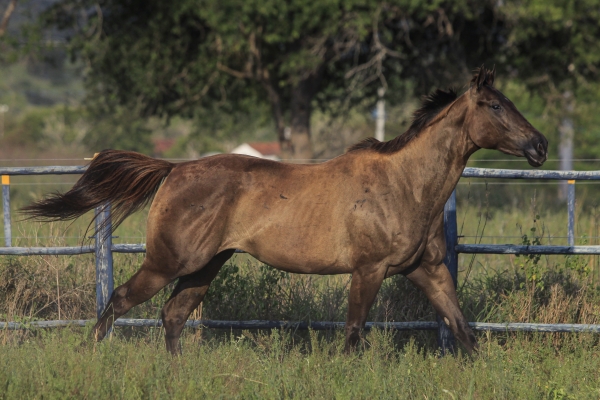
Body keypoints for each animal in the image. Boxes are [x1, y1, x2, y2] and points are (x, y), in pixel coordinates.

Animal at [23, 67, 548, 354]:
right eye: (495, 106)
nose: (540, 146)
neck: (404, 185)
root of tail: (174, 169)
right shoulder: (369, 269)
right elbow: (353, 332)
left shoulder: (429, 269)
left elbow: (463, 330)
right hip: (169, 261)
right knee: (119, 300)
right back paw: (92, 358)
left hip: (206, 265)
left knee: (172, 315)